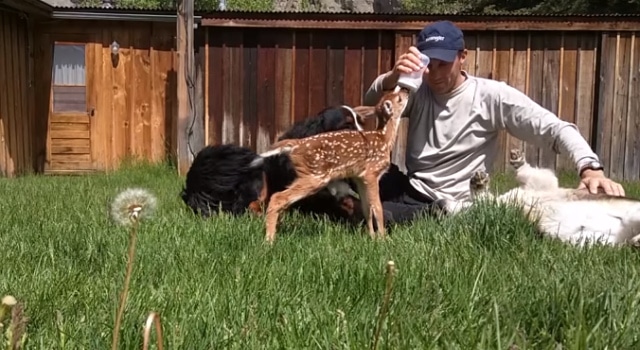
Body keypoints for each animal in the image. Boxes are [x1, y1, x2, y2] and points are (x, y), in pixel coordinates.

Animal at [448, 149, 640, 247]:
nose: (440, 205)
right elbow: (482, 198)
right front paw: (477, 183)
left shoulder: (540, 182)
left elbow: (525, 171)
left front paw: (517, 159)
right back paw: (636, 242)